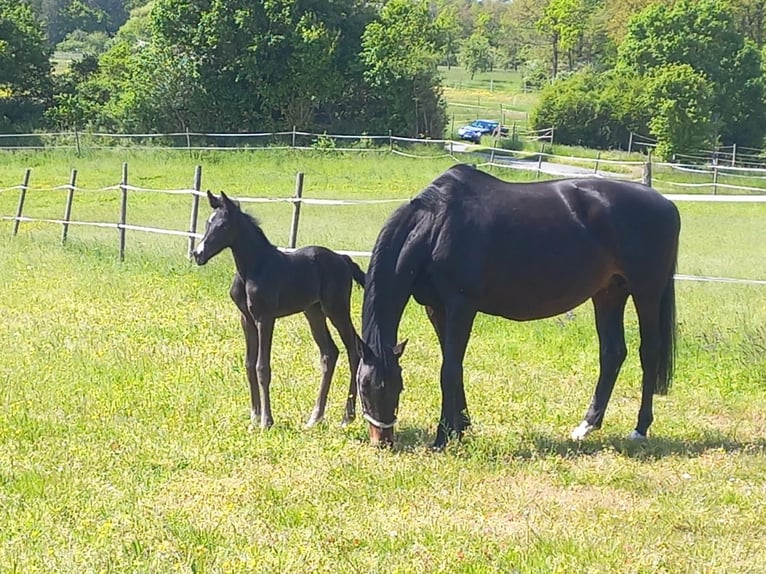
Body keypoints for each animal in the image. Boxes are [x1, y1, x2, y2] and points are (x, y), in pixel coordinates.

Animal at [195, 191, 368, 430]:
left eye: (223, 226)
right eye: (207, 223)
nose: (197, 254)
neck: (254, 268)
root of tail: (342, 259)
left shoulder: (265, 318)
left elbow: (262, 367)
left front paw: (266, 421)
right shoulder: (246, 319)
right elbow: (249, 365)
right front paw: (254, 418)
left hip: (337, 310)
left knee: (354, 350)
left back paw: (347, 417)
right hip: (313, 312)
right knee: (329, 353)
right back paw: (315, 418)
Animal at [356, 165, 680, 450]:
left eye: (397, 387)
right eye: (363, 387)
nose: (383, 442)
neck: (436, 225)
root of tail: (666, 204)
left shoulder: (461, 307)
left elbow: (449, 370)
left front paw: (443, 437)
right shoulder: (437, 309)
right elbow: (453, 366)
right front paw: (462, 427)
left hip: (646, 292)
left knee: (649, 353)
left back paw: (639, 429)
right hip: (609, 294)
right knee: (612, 353)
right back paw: (586, 426)